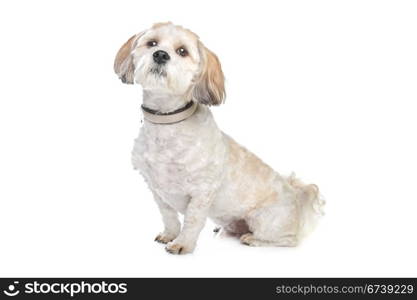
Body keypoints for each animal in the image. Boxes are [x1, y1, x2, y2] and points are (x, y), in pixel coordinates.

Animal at [114, 22, 324, 254]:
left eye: (182, 51)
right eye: (152, 43)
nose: (160, 54)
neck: (168, 121)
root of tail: (296, 197)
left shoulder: (202, 191)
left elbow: (192, 220)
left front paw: (182, 244)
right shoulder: (157, 190)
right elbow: (169, 216)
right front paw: (169, 234)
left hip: (264, 219)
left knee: (289, 240)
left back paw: (253, 239)